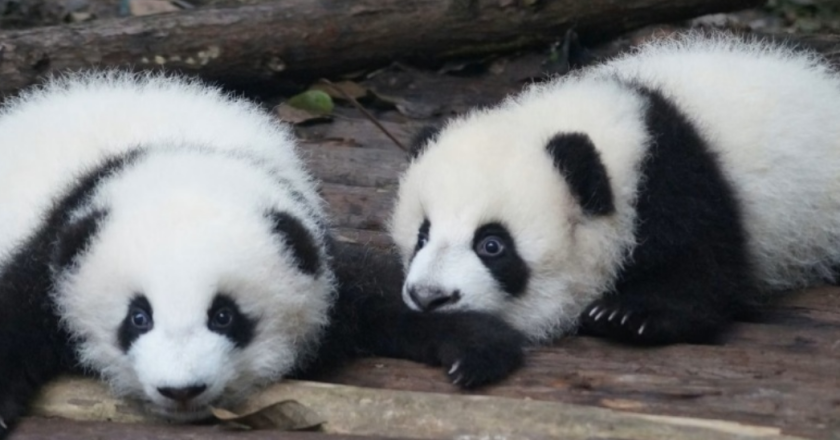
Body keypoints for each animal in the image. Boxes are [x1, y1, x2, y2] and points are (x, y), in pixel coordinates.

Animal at [0, 72, 524, 436]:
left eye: (224, 316)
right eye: (138, 318)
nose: (181, 390)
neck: (177, 155)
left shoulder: (311, 247)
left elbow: (378, 294)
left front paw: (476, 346)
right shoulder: (50, 249)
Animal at [390, 32, 840, 346]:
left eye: (492, 245)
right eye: (422, 236)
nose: (428, 297)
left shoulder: (679, 181)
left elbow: (702, 270)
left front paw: (627, 316)